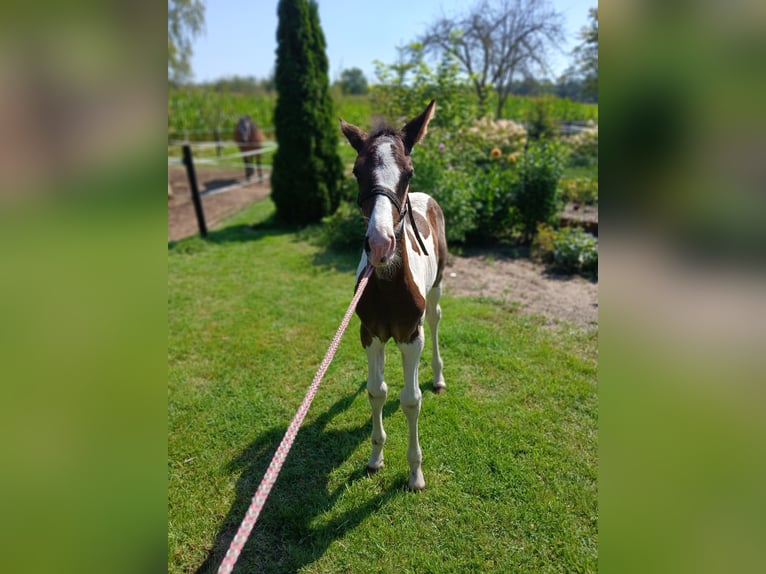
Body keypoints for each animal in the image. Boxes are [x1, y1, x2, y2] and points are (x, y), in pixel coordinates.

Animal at [342, 101, 450, 492]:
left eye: (409, 171)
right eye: (357, 172)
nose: (379, 243)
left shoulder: (410, 336)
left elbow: (410, 399)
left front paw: (415, 473)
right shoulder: (370, 333)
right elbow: (377, 391)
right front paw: (375, 457)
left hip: (438, 286)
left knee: (436, 319)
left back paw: (438, 377)